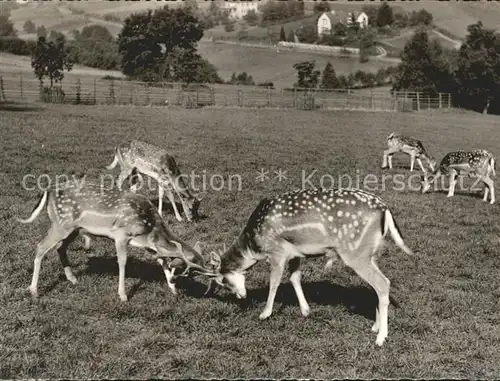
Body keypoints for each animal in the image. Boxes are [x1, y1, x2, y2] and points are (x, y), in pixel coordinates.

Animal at [17, 180, 209, 302]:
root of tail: (48, 190)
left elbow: (162, 260)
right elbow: (122, 262)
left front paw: (173, 289)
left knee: (60, 248)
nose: (209, 274)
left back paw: (72, 279)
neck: (149, 226)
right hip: (61, 224)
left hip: (74, 229)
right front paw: (123, 296)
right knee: (41, 247)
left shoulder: (146, 243)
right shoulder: (121, 234)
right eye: (192, 269)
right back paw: (33, 290)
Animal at [201, 189, 416, 346]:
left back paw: (381, 338)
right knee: (378, 285)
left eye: (223, 280)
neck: (254, 246)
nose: (240, 296)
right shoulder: (296, 253)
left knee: (383, 283)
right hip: (370, 253)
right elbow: (295, 278)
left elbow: (274, 282)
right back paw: (375, 327)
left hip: (356, 253)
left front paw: (265, 313)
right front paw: (305, 310)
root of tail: (385, 209)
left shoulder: (277, 251)